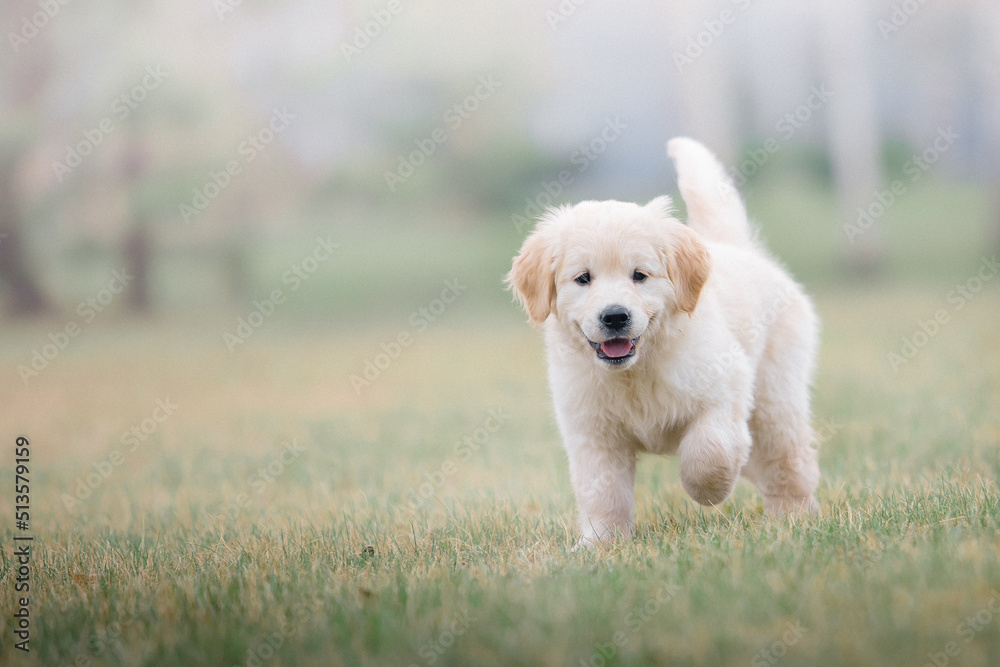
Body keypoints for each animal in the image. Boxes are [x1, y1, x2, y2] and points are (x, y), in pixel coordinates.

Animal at [508, 137, 820, 548]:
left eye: (640, 275)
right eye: (583, 278)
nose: (615, 316)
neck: (636, 370)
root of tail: (741, 250)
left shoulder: (725, 386)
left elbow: (708, 451)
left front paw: (709, 491)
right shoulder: (591, 431)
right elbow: (602, 491)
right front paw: (600, 543)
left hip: (774, 400)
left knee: (788, 461)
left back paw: (793, 518)